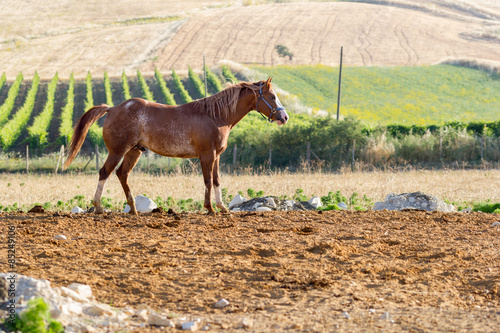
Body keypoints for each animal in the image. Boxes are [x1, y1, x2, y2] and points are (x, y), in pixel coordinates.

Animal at [63, 77, 290, 214]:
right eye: (272, 96)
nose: (284, 117)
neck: (215, 116)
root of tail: (112, 108)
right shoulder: (207, 155)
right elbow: (208, 181)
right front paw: (210, 208)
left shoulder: (216, 156)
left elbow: (216, 180)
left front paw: (222, 208)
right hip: (117, 151)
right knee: (105, 172)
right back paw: (98, 207)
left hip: (133, 152)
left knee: (122, 174)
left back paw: (134, 209)